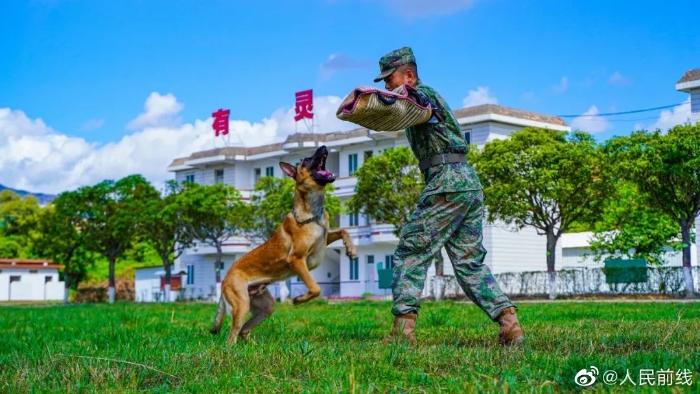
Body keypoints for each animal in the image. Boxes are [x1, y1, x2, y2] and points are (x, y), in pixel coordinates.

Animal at [211, 145, 358, 344]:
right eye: (306, 160)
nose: (323, 146)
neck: (312, 213)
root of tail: (225, 277)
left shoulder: (324, 239)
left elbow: (343, 231)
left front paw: (351, 249)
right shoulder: (296, 260)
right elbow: (316, 288)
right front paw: (299, 299)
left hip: (265, 306)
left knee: (243, 331)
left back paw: (254, 346)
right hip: (241, 305)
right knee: (232, 336)